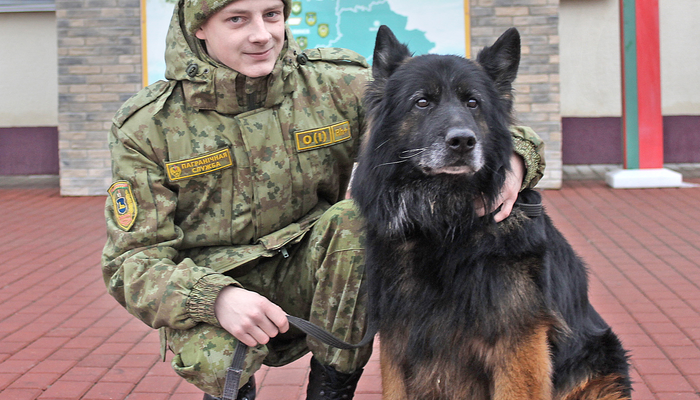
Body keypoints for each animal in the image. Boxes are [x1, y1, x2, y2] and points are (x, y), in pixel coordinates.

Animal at [352, 25, 632, 400]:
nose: (462, 141)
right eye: (422, 101)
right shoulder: (398, 339)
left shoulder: (518, 345)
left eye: (473, 103)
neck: (445, 222)